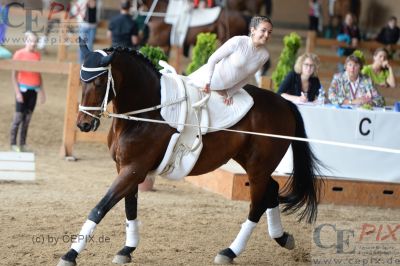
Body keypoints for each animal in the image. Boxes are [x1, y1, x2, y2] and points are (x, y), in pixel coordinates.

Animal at [57, 42, 322, 264]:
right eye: (81, 81)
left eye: (100, 82)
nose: (83, 124)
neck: (146, 113)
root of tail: (284, 103)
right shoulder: (125, 168)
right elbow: (129, 207)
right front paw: (126, 249)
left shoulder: (134, 169)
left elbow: (100, 207)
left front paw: (70, 255)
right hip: (252, 163)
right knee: (272, 190)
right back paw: (282, 238)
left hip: (258, 167)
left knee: (257, 205)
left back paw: (230, 252)